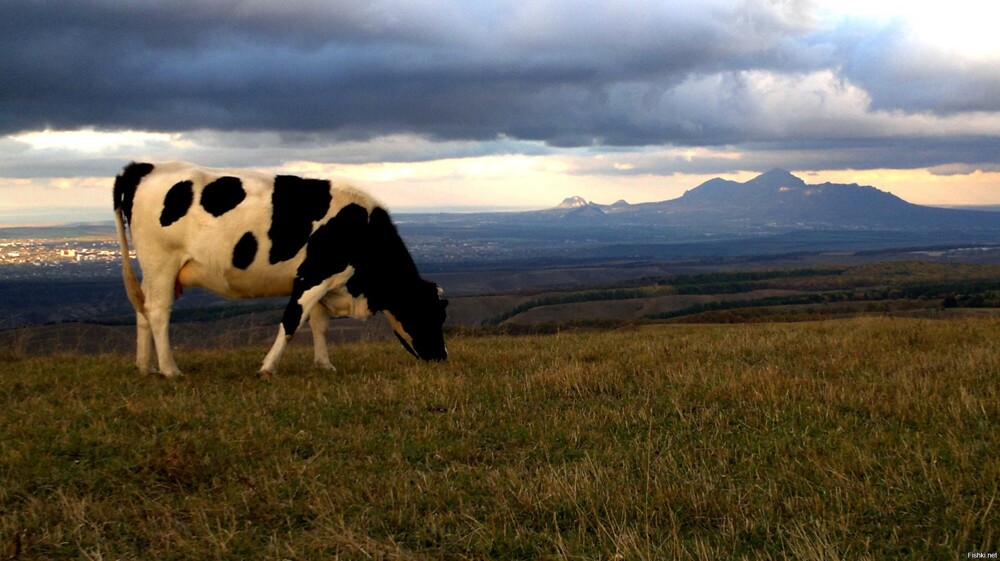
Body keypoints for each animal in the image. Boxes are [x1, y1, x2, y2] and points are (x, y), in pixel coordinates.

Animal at [112, 161, 450, 376]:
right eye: (431, 314)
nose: (442, 357)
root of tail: (145, 167)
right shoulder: (313, 276)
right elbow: (291, 322)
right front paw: (268, 368)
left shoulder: (323, 282)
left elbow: (319, 325)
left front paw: (325, 365)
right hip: (162, 261)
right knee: (158, 311)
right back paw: (170, 370)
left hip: (153, 269)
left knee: (143, 309)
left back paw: (146, 367)